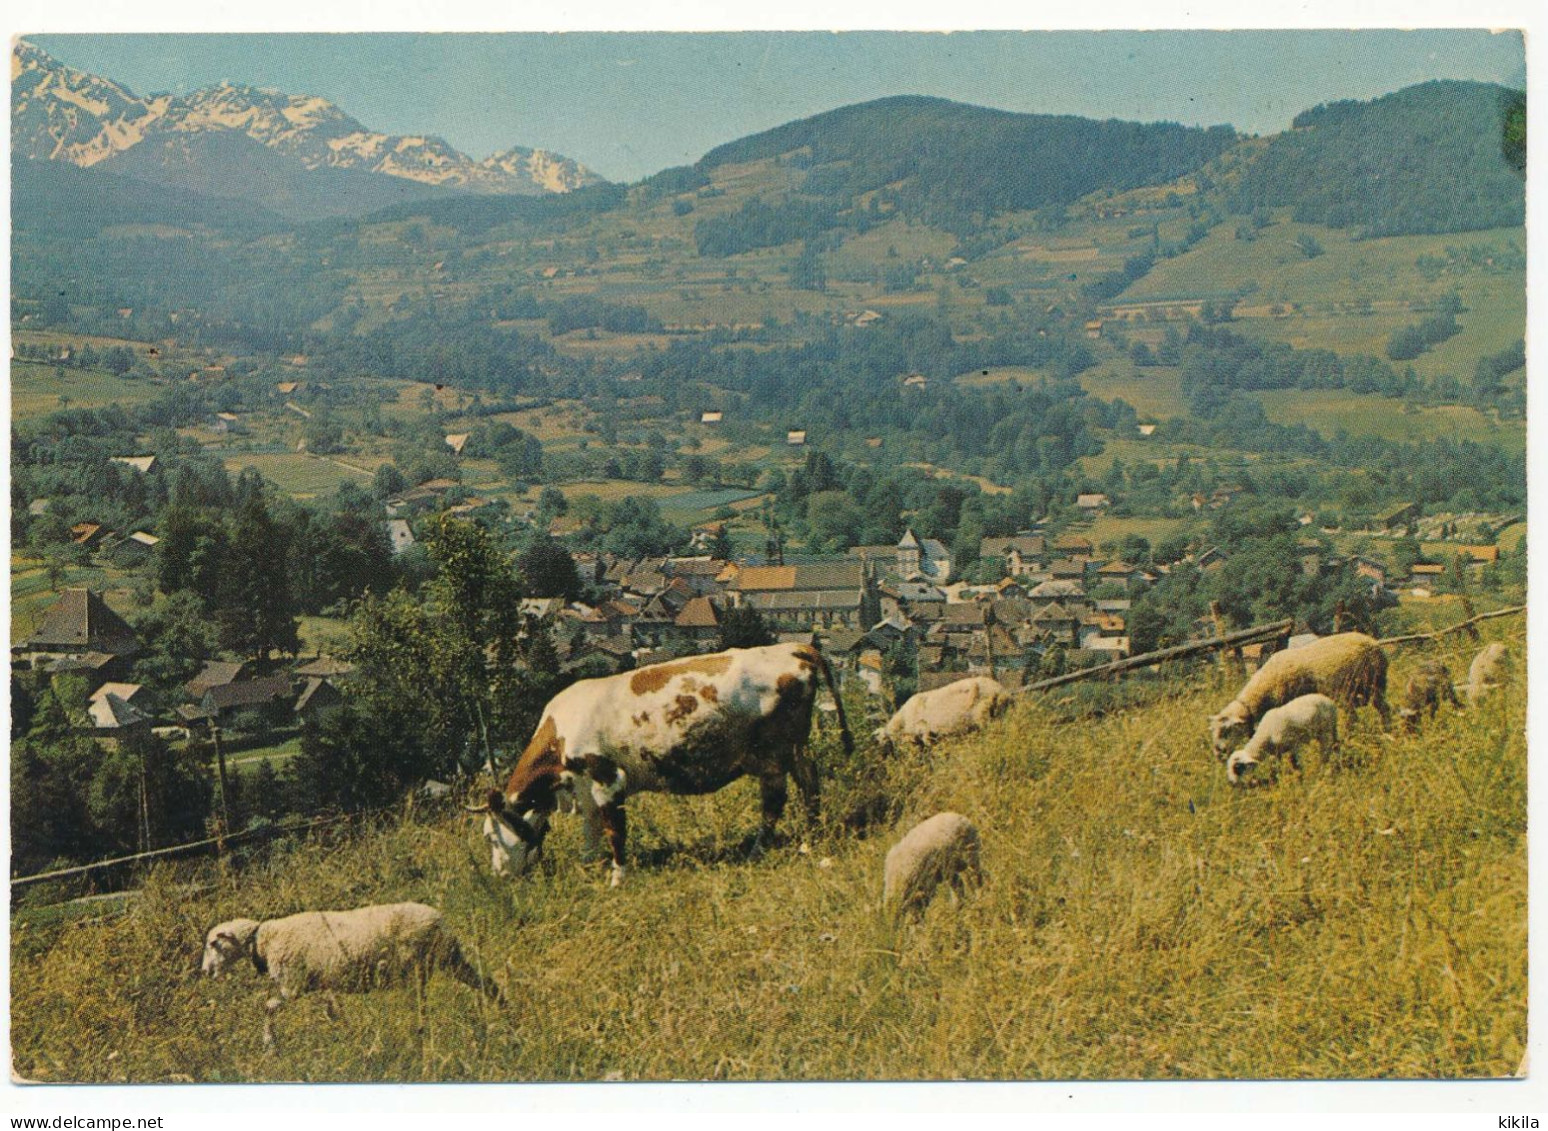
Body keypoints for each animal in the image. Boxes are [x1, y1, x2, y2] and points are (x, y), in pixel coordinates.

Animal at [202, 903, 498, 1052]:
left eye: (213, 944)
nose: (204, 971)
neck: (263, 941)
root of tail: (440, 919)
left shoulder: (292, 985)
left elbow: (268, 1008)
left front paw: (269, 1043)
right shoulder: (322, 985)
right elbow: (333, 1012)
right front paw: (348, 1035)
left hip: (419, 964)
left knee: (422, 1005)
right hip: (448, 957)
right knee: (485, 982)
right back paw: (498, 1014)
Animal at [476, 640, 854, 891]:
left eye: (490, 837)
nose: (498, 876)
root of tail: (792, 646)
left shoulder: (608, 778)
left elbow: (615, 831)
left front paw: (618, 877)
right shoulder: (585, 790)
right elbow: (591, 833)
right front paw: (589, 868)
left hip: (774, 752)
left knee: (776, 800)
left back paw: (759, 849)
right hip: (793, 749)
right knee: (810, 784)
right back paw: (810, 836)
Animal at [1207, 628, 1393, 761]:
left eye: (1226, 731)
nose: (1218, 754)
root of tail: (1374, 645)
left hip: (1349, 689)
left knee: (1352, 718)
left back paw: (1352, 739)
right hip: (1375, 685)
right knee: (1384, 709)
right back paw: (1388, 731)